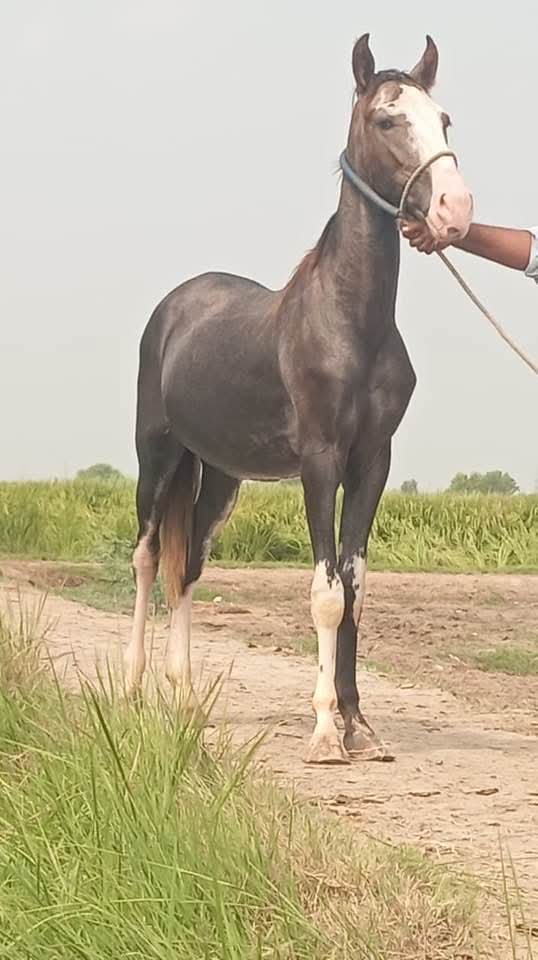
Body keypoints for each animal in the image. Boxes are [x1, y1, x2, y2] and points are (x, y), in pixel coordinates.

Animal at [125, 34, 473, 764]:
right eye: (386, 120)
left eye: (444, 119)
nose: (455, 209)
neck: (349, 323)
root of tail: (175, 306)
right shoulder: (319, 462)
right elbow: (325, 592)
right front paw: (322, 732)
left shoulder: (372, 463)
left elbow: (356, 586)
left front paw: (361, 726)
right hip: (157, 456)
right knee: (144, 558)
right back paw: (132, 687)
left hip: (220, 477)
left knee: (186, 567)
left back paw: (185, 697)